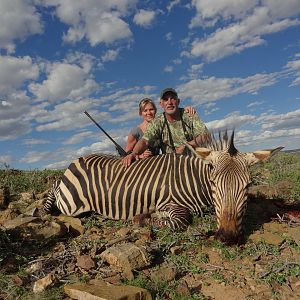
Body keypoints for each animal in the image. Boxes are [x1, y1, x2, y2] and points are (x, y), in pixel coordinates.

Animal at [38, 131, 282, 244]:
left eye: (247, 186)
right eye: (214, 182)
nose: (228, 237)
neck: (195, 181)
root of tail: (78, 159)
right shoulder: (170, 203)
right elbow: (179, 221)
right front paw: (143, 217)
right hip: (71, 204)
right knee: (54, 187)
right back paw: (42, 211)